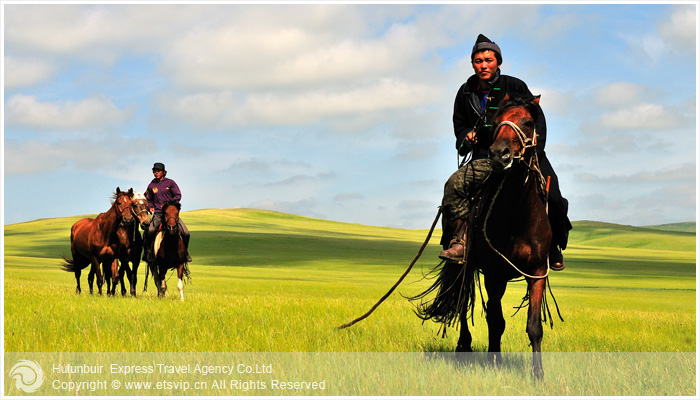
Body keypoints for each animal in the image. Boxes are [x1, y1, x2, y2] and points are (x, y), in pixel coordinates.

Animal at [412, 94, 556, 378]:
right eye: (496, 122)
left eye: (528, 122)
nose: (500, 155)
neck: (517, 215)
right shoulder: (494, 274)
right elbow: (495, 321)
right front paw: (495, 362)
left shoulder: (536, 274)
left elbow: (534, 327)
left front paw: (538, 375)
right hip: (464, 267)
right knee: (461, 302)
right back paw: (463, 346)